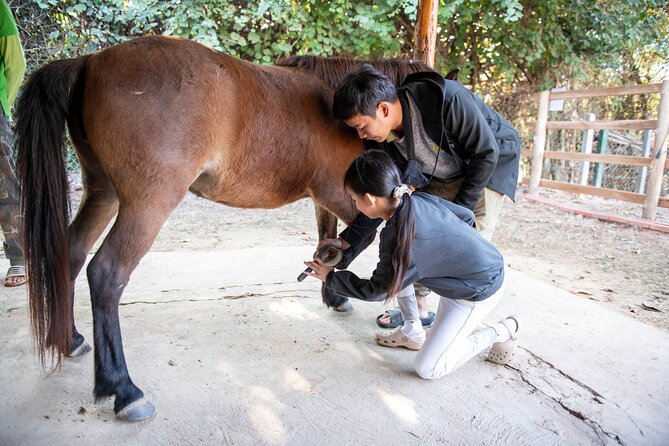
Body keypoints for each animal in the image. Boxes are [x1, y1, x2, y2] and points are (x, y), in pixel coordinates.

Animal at [18, 35, 434, 422]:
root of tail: (89, 62)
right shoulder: (342, 194)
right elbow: (363, 240)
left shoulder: (322, 197)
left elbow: (328, 239)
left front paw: (332, 293)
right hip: (147, 204)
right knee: (106, 274)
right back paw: (124, 390)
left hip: (103, 192)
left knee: (71, 253)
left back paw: (70, 340)